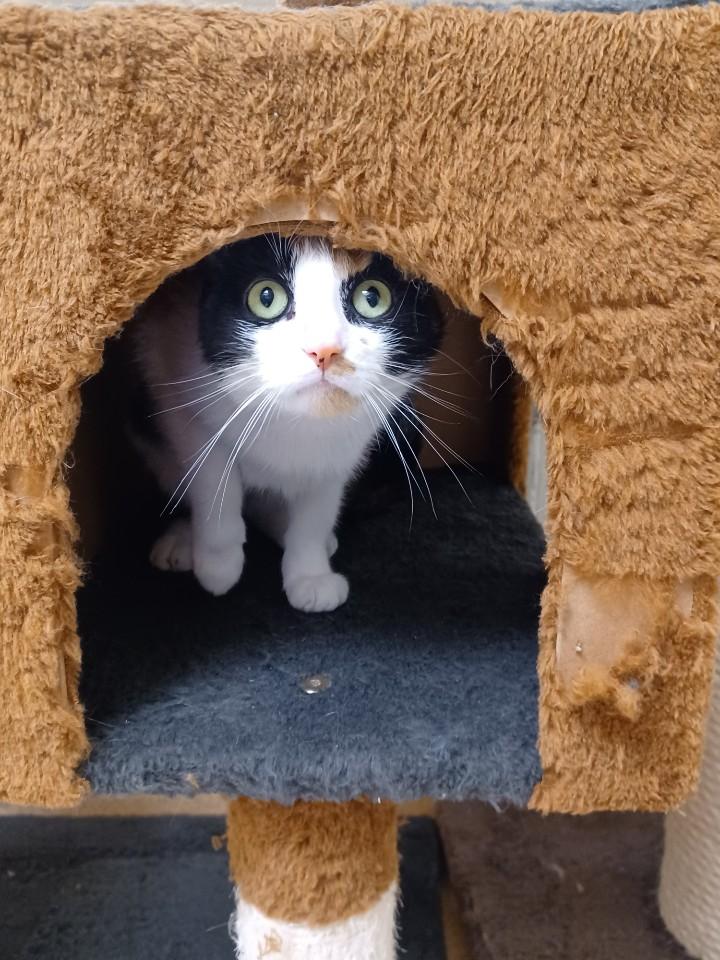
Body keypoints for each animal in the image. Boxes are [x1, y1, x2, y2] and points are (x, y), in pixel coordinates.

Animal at [131, 232, 442, 612]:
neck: (296, 424)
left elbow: (316, 512)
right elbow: (213, 478)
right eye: (266, 297)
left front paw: (310, 575)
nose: (324, 351)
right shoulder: (177, 387)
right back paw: (181, 541)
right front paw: (218, 567)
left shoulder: (342, 451)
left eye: (372, 297)